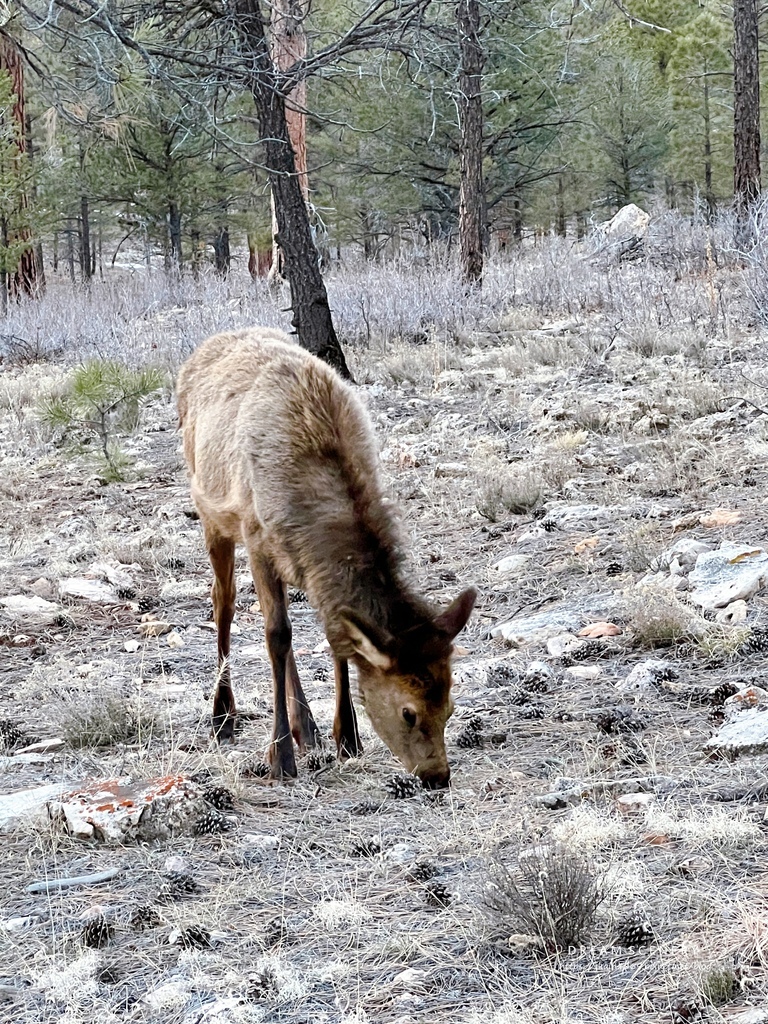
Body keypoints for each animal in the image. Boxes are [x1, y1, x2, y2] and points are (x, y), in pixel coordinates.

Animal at [178, 327, 479, 782]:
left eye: (450, 706)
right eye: (408, 712)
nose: (436, 777)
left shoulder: (309, 567)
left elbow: (330, 639)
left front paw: (347, 737)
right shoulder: (256, 537)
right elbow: (276, 635)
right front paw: (280, 756)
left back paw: (307, 727)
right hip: (211, 511)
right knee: (223, 604)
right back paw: (223, 716)